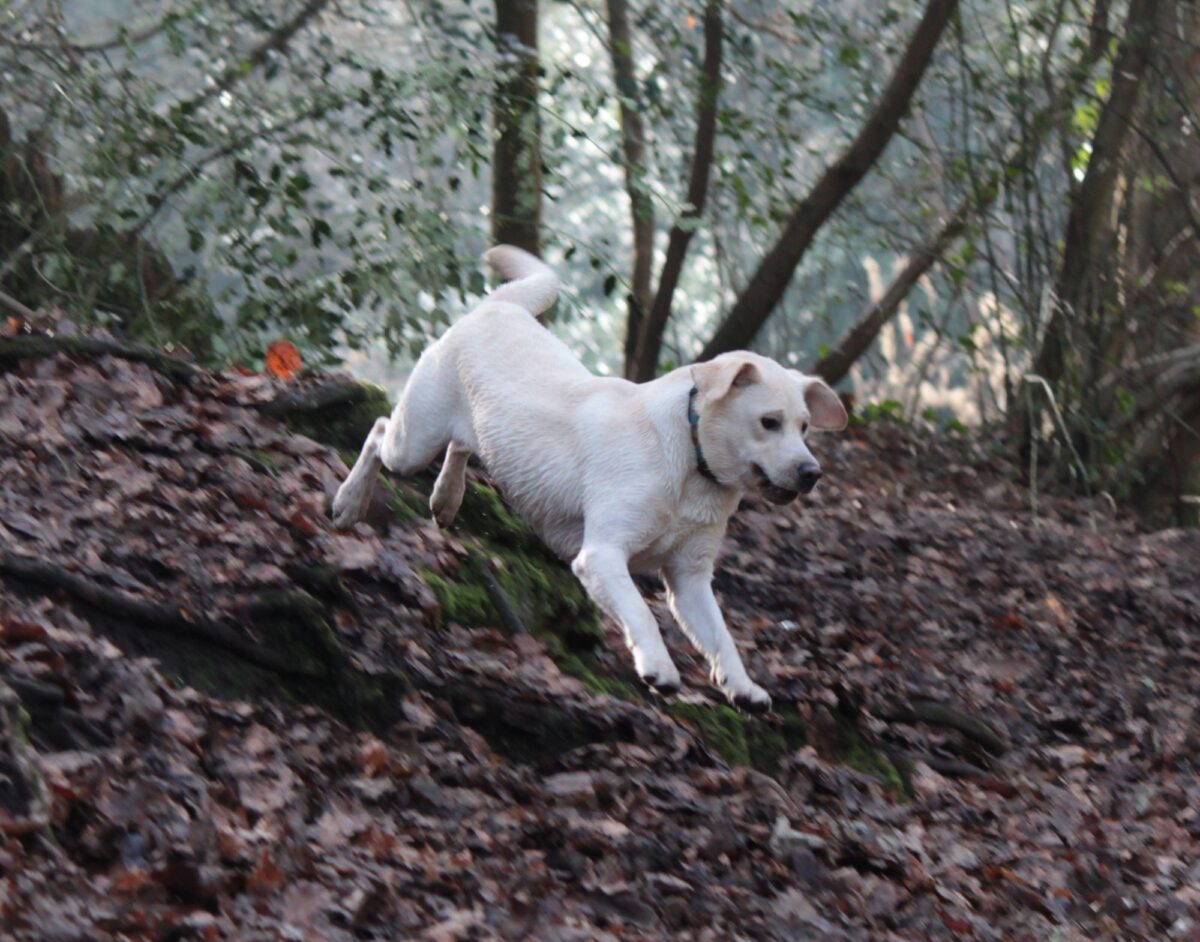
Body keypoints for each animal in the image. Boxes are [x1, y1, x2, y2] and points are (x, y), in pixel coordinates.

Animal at [333, 246, 849, 710]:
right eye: (769, 422)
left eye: (805, 427)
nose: (812, 473)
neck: (690, 459)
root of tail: (500, 306)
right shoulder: (602, 555)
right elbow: (641, 612)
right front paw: (658, 666)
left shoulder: (690, 578)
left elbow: (722, 637)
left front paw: (742, 687)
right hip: (414, 440)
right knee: (379, 432)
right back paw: (349, 501)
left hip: (472, 432)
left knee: (461, 445)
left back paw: (446, 497)